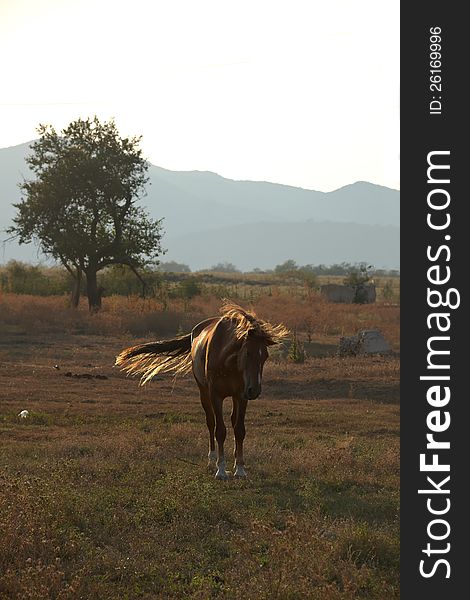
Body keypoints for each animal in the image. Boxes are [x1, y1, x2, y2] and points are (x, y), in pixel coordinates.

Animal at [115, 302, 288, 480]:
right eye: (247, 353)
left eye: (265, 356)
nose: (255, 390)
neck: (227, 361)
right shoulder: (215, 395)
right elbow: (220, 431)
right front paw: (221, 469)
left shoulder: (241, 396)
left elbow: (239, 430)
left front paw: (240, 469)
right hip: (204, 393)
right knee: (210, 422)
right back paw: (212, 460)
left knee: (233, 422)